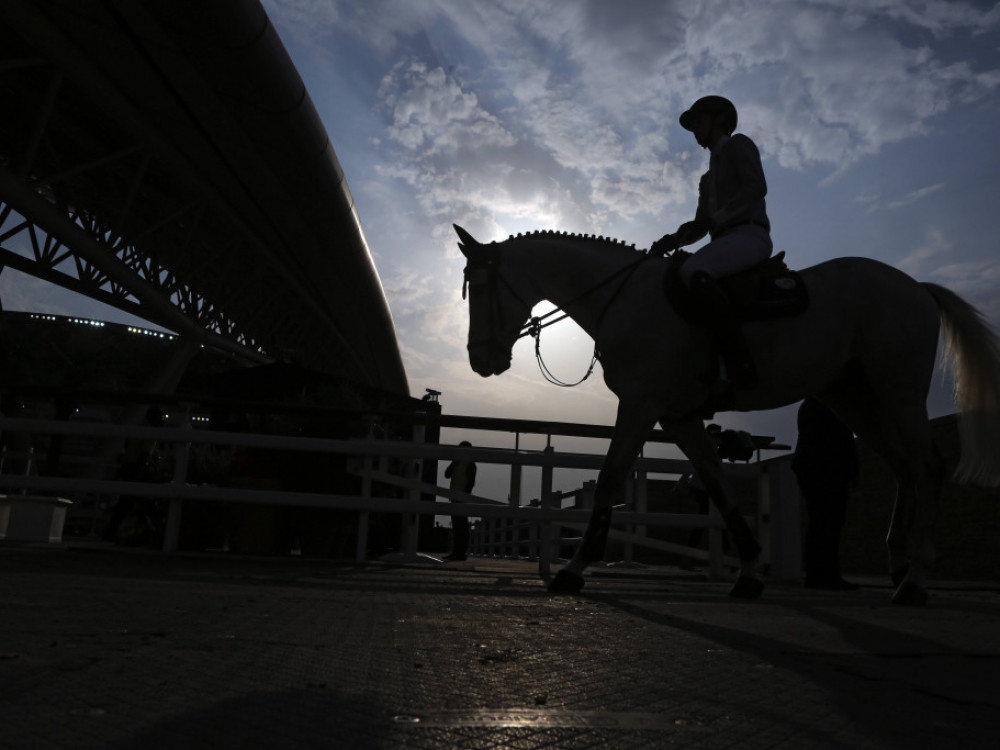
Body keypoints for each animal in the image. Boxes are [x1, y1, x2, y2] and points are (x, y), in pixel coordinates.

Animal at [456, 223, 1000, 604]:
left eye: (480, 289)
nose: (480, 360)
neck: (626, 299)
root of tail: (916, 287)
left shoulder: (641, 404)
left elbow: (611, 476)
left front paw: (574, 569)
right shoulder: (676, 416)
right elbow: (716, 481)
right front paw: (750, 573)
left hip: (899, 393)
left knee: (927, 467)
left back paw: (916, 579)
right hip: (855, 401)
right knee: (905, 468)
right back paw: (900, 565)